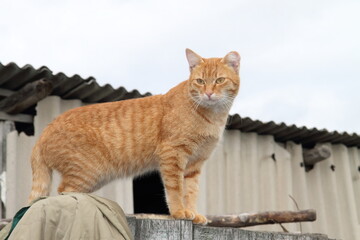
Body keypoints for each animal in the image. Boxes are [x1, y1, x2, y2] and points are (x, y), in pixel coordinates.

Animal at [28, 48, 242, 223]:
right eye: (200, 81)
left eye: (219, 80)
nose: (208, 93)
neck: (212, 116)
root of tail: (45, 130)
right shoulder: (172, 155)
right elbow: (175, 188)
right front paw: (179, 212)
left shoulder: (195, 164)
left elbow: (191, 191)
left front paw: (193, 213)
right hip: (85, 173)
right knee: (63, 193)